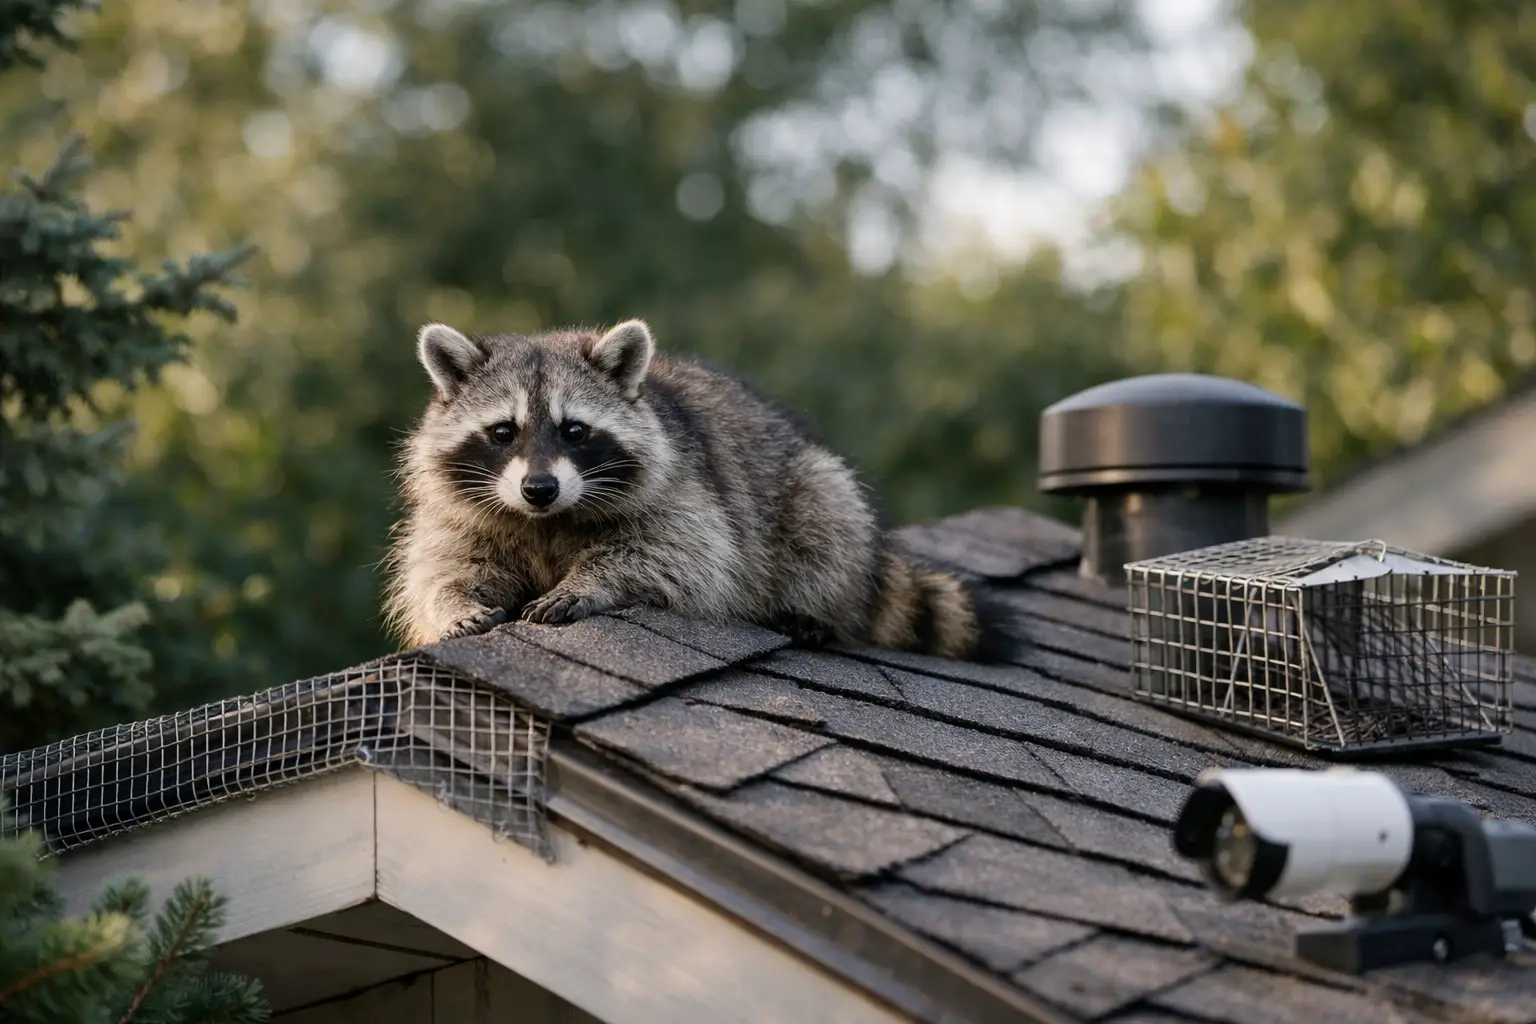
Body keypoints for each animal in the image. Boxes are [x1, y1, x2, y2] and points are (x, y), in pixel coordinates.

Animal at [382, 318, 1008, 662]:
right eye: (503, 431)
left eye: (574, 430)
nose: (539, 487)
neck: (548, 520)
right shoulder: (461, 514)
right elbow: (446, 568)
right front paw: (455, 606)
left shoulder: (684, 492)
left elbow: (677, 553)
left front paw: (591, 583)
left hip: (810, 488)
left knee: (827, 517)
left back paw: (815, 607)